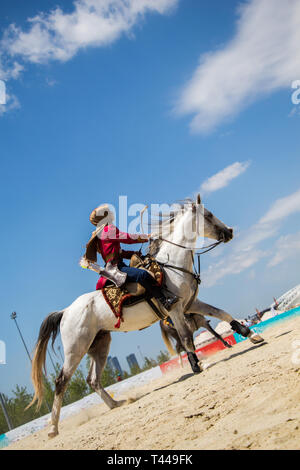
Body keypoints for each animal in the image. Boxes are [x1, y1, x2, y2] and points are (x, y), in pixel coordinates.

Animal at [28, 195, 262, 436]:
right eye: (208, 215)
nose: (230, 231)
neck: (173, 265)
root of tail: (65, 312)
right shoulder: (176, 310)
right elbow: (186, 338)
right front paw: (198, 365)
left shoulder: (191, 304)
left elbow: (221, 313)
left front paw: (250, 334)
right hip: (76, 348)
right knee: (61, 381)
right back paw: (53, 428)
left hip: (99, 345)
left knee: (93, 380)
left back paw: (117, 404)